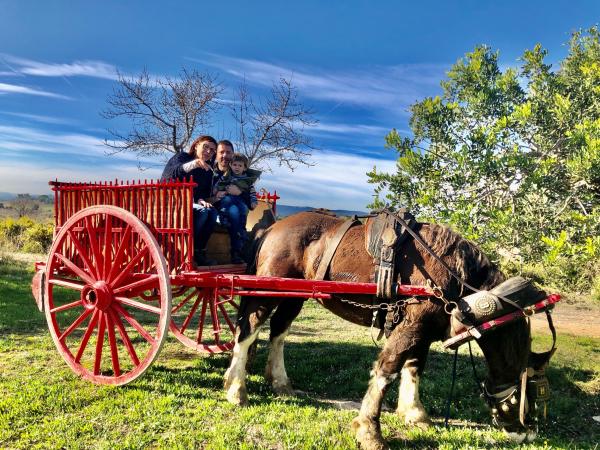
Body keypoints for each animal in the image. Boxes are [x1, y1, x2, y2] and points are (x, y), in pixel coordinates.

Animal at [226, 212, 552, 450]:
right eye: (532, 393)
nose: (530, 432)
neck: (455, 278)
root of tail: (274, 227)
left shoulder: (424, 330)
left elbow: (414, 368)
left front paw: (415, 414)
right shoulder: (411, 327)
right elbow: (388, 369)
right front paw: (369, 430)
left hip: (295, 295)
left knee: (278, 332)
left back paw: (279, 382)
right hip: (267, 291)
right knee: (248, 330)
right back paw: (236, 389)